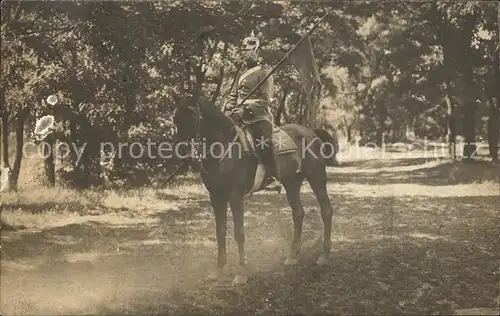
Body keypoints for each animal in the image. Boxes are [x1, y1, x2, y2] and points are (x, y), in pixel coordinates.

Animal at [172, 30, 340, 286]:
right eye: (175, 118)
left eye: (191, 115)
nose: (183, 151)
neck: (223, 146)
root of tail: (310, 132)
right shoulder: (216, 196)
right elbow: (220, 231)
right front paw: (219, 270)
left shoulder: (234, 195)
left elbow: (239, 232)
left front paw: (242, 272)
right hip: (292, 182)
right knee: (298, 213)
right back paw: (292, 257)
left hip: (317, 178)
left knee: (326, 211)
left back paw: (324, 255)